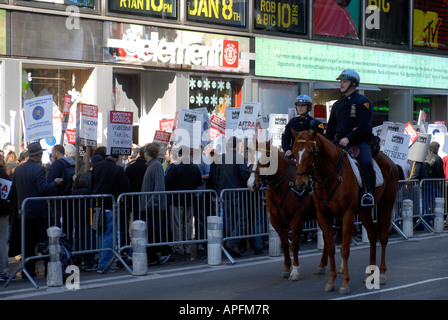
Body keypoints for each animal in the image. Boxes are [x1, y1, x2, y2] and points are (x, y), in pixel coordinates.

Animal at [247, 140, 328, 280]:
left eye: (265, 160)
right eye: (250, 158)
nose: (251, 184)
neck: (284, 185)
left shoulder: (297, 219)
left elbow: (294, 245)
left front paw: (295, 271)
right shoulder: (276, 220)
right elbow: (285, 244)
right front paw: (286, 269)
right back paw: (322, 266)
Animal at [292, 129, 400, 294]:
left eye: (310, 152)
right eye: (294, 152)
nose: (301, 184)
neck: (330, 176)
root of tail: (391, 162)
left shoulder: (347, 215)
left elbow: (344, 250)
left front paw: (344, 284)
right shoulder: (323, 216)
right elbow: (330, 248)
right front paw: (331, 282)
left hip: (386, 205)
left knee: (383, 237)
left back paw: (381, 274)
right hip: (364, 212)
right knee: (372, 235)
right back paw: (370, 273)